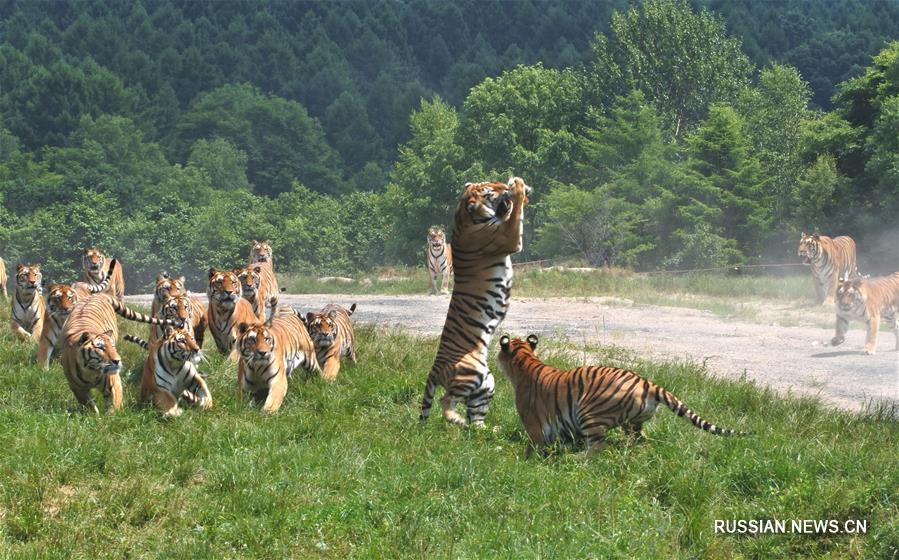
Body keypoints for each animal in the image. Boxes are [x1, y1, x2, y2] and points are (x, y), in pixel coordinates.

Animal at [420, 177, 532, 426]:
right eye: (492, 191)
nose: (505, 187)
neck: (464, 216)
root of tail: (433, 369)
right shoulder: (509, 237)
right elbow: (516, 216)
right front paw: (519, 187)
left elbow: (512, 213)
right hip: (469, 373)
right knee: (445, 401)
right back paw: (459, 421)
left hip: (486, 382)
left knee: (473, 415)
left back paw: (487, 430)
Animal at [496, 334, 748, 458]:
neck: (526, 359)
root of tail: (649, 383)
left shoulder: (534, 423)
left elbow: (534, 444)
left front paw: (528, 460)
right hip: (632, 423)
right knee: (639, 441)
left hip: (590, 412)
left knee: (598, 449)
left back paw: (573, 458)